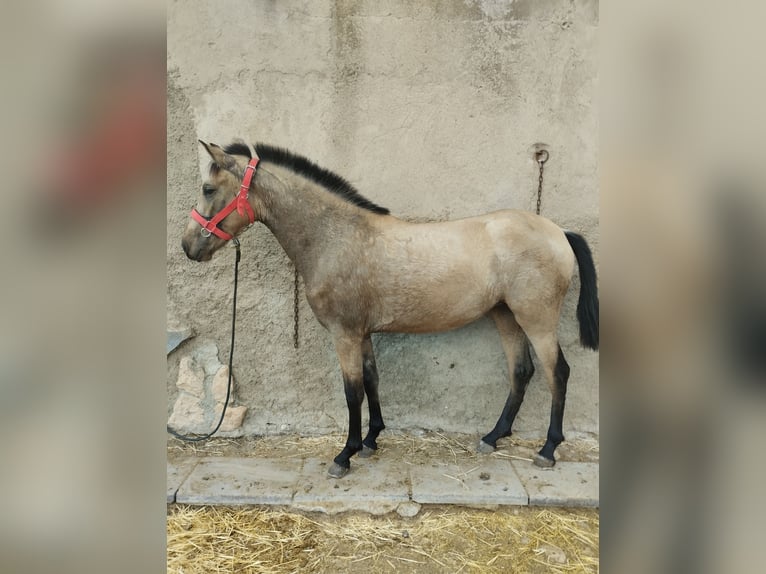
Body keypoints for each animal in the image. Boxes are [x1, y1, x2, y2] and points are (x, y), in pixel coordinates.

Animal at [182, 141, 600, 482]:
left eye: (208, 189)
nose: (188, 247)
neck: (335, 236)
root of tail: (559, 233)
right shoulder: (363, 333)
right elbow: (371, 381)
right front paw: (370, 440)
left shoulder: (345, 334)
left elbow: (352, 392)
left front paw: (345, 455)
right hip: (505, 316)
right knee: (521, 371)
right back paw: (493, 437)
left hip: (537, 320)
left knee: (557, 373)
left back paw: (548, 450)